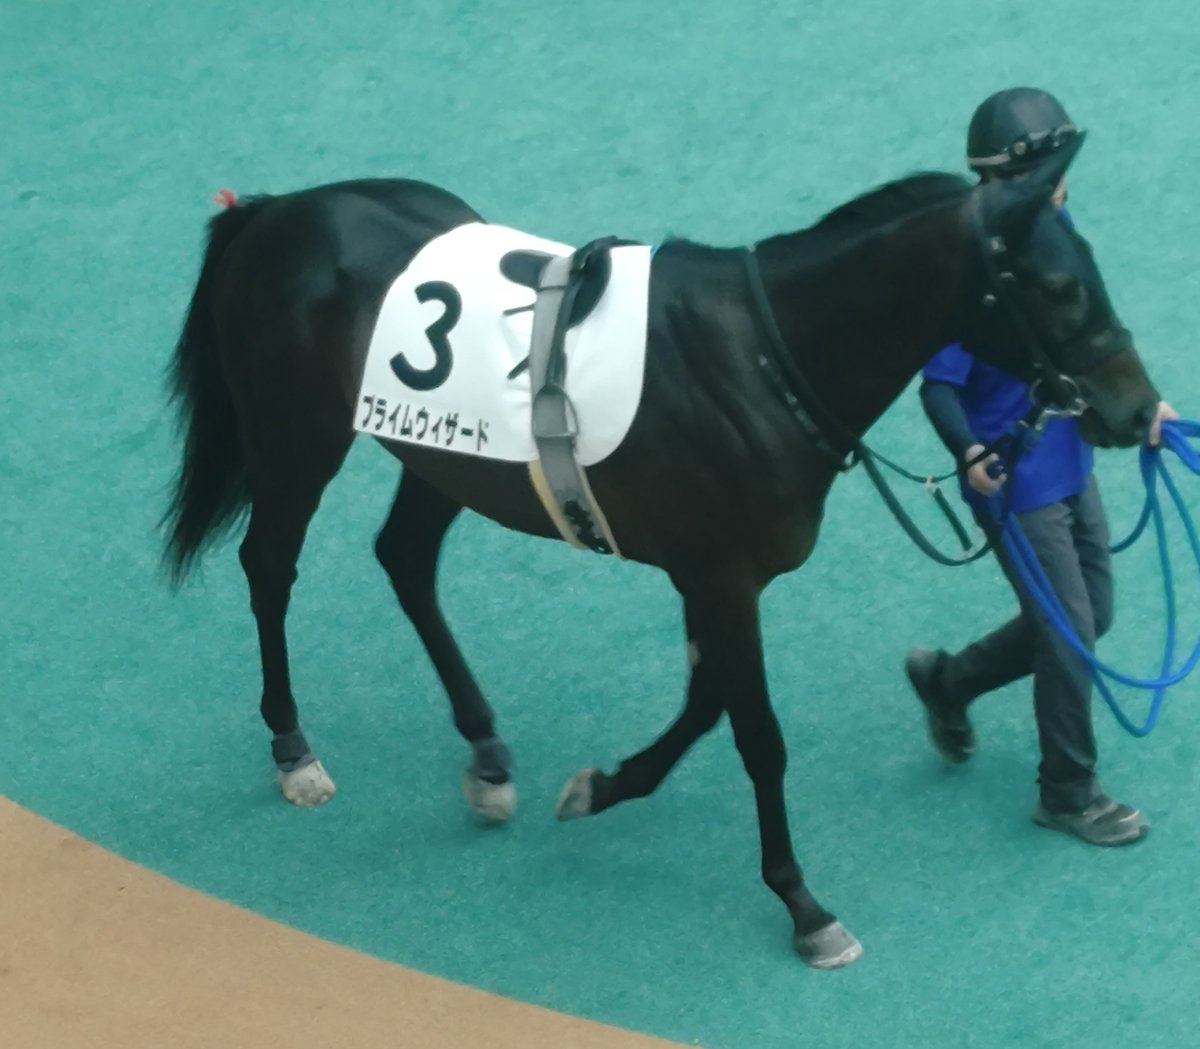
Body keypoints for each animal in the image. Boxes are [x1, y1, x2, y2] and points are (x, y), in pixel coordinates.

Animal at [161, 134, 1159, 969]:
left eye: (1092, 271)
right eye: (1061, 287)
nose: (1138, 410)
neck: (765, 361)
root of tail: (275, 211)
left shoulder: (709, 576)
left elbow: (706, 705)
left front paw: (600, 785)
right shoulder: (722, 577)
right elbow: (757, 735)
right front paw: (804, 907)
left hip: (445, 454)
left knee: (404, 557)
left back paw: (486, 755)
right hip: (296, 435)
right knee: (270, 565)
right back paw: (294, 749)